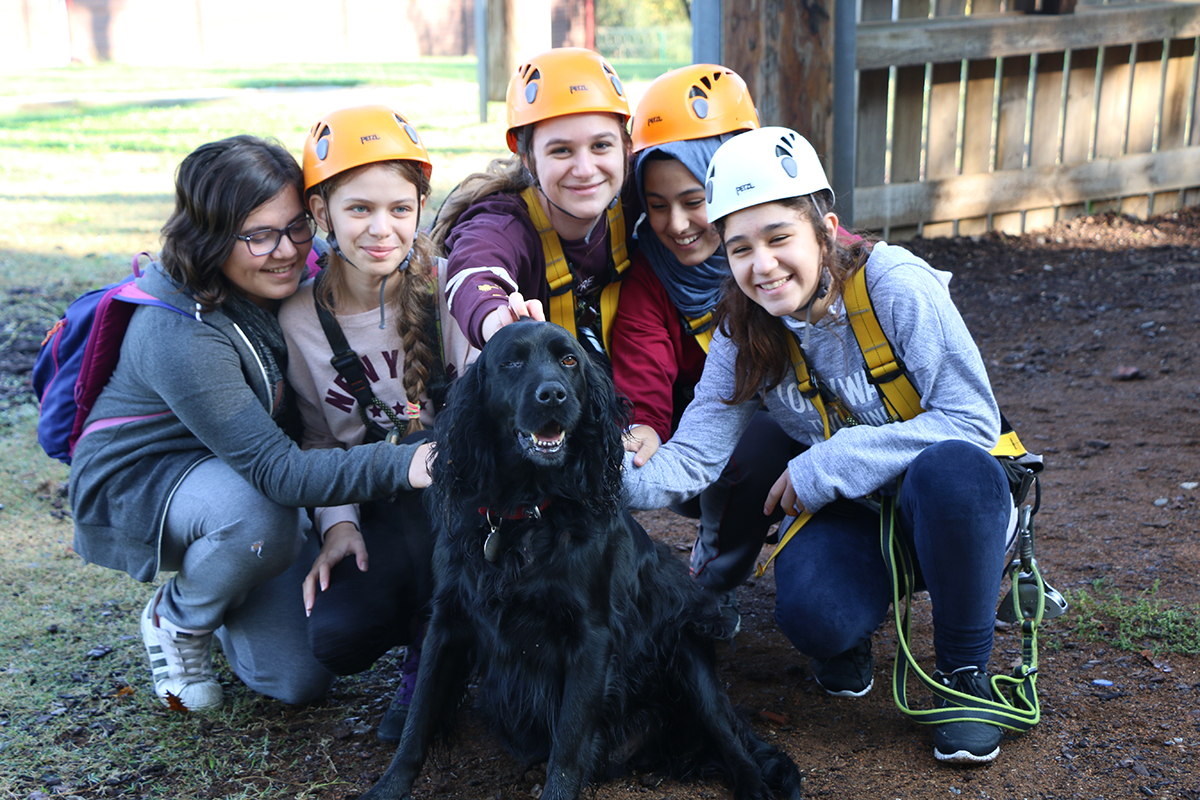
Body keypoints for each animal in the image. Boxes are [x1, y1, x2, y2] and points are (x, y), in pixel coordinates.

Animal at [360, 321, 801, 800]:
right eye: (512, 362)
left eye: (569, 360)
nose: (553, 395)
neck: (527, 512)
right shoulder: (449, 621)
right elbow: (418, 721)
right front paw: (387, 787)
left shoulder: (591, 636)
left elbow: (569, 745)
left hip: (687, 653)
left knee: (732, 742)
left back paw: (753, 785)